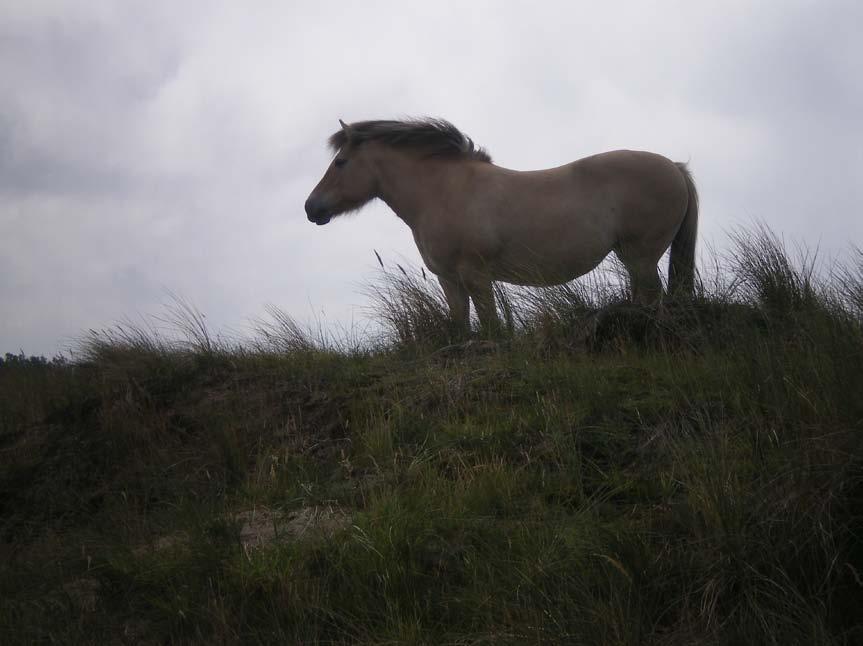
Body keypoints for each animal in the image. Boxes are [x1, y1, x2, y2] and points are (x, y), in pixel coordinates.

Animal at [308, 118, 700, 332]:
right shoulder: (450, 280)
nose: (311, 208)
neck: (443, 191)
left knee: (653, 299)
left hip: (641, 256)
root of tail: (675, 167)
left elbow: (493, 327)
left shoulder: (477, 277)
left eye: (341, 162)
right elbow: (461, 325)